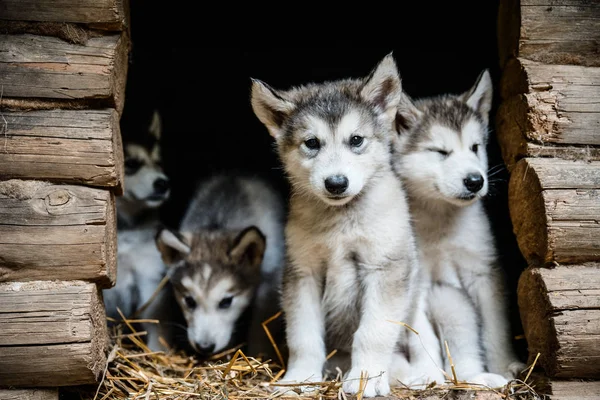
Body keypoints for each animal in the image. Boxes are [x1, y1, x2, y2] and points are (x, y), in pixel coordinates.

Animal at [102, 109, 173, 350]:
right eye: (131, 163)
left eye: (160, 163)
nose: (163, 183)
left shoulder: (147, 275)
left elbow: (154, 320)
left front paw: (157, 351)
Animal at [155, 174, 286, 360]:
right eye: (189, 301)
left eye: (226, 302)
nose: (205, 347)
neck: (219, 224)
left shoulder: (270, 282)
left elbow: (260, 323)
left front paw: (259, 353)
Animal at [251, 54, 420, 396]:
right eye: (312, 143)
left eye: (356, 140)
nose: (336, 183)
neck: (342, 221)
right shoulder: (303, 273)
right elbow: (303, 336)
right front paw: (300, 378)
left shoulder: (385, 268)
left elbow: (372, 332)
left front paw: (367, 378)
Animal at [390, 70, 524, 386]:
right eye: (440, 152)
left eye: (475, 147)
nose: (475, 181)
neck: (442, 222)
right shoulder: (417, 285)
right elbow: (421, 338)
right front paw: (428, 375)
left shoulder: (485, 273)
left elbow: (496, 329)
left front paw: (503, 364)